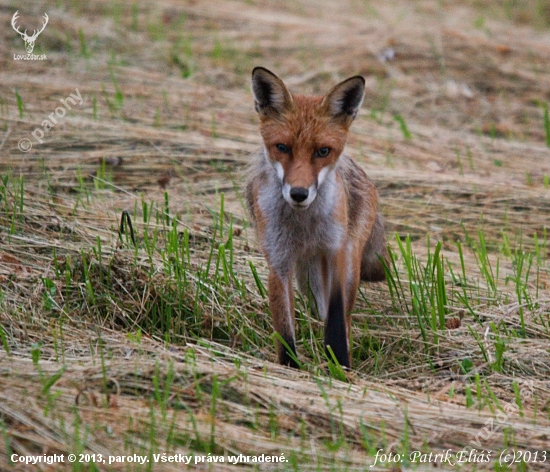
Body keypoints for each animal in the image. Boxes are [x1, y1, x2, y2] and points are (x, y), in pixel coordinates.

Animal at [248, 67, 390, 368]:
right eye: (282, 147)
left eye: (323, 151)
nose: (299, 194)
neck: (304, 225)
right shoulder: (278, 261)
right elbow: (284, 330)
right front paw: (290, 369)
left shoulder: (337, 252)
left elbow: (336, 321)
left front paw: (340, 366)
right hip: (307, 280)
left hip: (348, 262)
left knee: (342, 315)